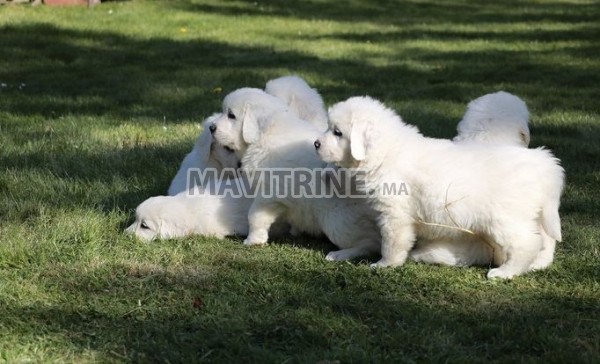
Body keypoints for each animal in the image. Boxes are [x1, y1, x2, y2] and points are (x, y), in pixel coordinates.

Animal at [239, 109, 380, 260]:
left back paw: (339, 254)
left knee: (369, 244)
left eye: (231, 115)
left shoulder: (267, 196)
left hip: (337, 223)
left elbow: (255, 217)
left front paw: (252, 240)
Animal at [316, 96, 564, 278]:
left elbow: (392, 242)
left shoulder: (394, 214)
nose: (316, 144)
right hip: (534, 215)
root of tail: (542, 162)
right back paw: (537, 265)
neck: (386, 152)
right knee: (545, 240)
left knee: (527, 243)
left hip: (506, 219)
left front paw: (385, 264)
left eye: (337, 132)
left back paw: (504, 272)